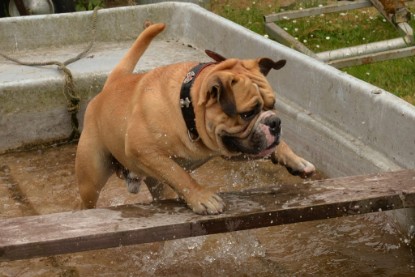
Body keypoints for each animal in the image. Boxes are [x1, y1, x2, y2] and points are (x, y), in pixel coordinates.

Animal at [75, 23, 316, 213]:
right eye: (247, 113)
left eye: (272, 106)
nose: (275, 122)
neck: (187, 109)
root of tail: (112, 83)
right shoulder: (144, 149)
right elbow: (179, 174)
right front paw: (203, 197)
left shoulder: (231, 149)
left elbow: (278, 146)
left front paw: (297, 160)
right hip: (92, 177)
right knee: (87, 199)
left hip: (154, 182)